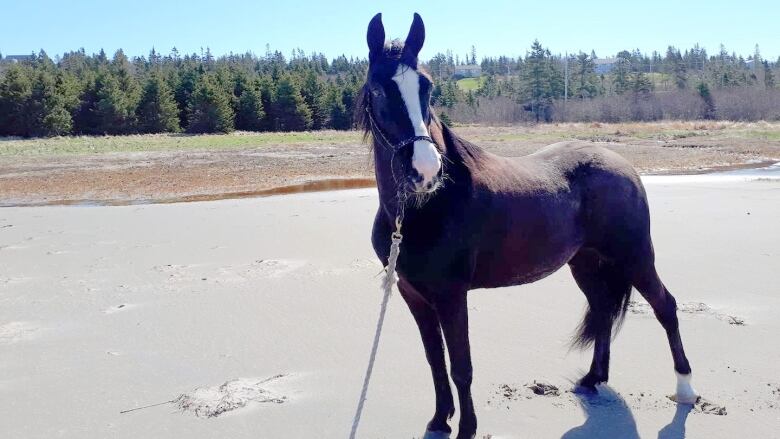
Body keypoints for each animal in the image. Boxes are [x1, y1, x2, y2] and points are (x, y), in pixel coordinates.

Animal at [358, 12, 696, 439]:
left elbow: (461, 367)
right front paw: (439, 420)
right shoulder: (413, 294)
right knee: (603, 310)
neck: (419, 211)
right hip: (586, 262)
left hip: (635, 257)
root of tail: (621, 164)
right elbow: (435, 361)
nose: (426, 170)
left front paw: (466, 428)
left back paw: (685, 390)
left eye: (427, 87)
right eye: (378, 89)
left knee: (665, 307)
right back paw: (593, 379)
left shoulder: (451, 295)